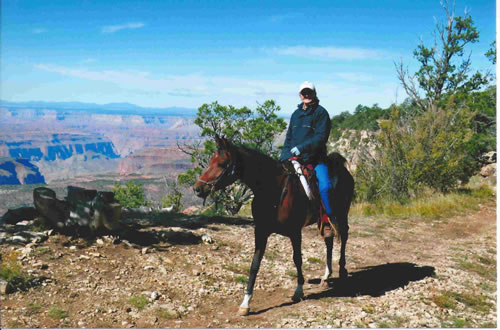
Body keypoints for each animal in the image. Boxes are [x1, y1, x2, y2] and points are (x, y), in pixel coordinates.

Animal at [193, 135, 354, 316]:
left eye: (221, 164)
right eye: (211, 161)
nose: (197, 188)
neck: (272, 189)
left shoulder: (295, 232)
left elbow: (297, 259)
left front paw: (298, 291)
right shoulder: (261, 232)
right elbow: (255, 264)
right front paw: (245, 303)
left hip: (341, 213)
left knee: (344, 236)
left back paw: (342, 270)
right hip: (323, 217)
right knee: (329, 238)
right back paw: (326, 276)